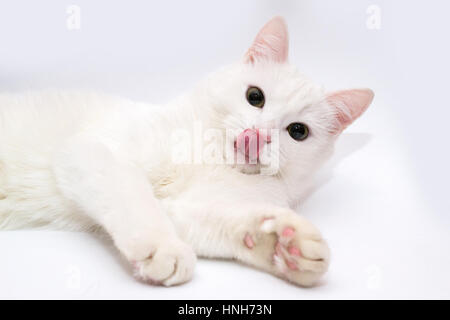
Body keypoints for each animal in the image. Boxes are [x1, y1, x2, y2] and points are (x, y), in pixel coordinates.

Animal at [0, 16, 372, 288]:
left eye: (298, 132)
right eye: (255, 96)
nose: (256, 136)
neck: (209, 158)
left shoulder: (184, 208)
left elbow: (217, 222)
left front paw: (282, 244)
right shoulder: (93, 150)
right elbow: (135, 198)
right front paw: (162, 248)